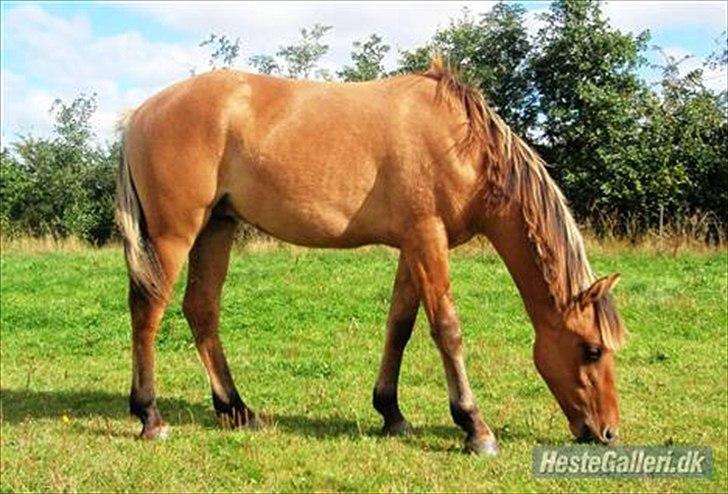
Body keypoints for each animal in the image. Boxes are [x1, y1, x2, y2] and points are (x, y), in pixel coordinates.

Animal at [115, 57, 625, 455]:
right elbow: (447, 330)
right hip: (173, 235)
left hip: (216, 228)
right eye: (591, 349)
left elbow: (400, 326)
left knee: (201, 309)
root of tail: (141, 114)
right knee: (148, 310)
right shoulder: (427, 239)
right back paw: (150, 416)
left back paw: (236, 409)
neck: (462, 144)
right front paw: (474, 427)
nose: (607, 432)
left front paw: (391, 412)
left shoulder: (413, 246)